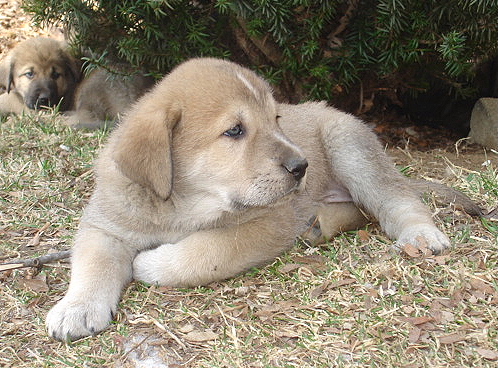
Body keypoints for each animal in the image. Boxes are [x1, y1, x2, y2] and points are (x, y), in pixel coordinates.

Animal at [46, 58, 456, 342]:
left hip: (350, 148)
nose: (301, 167)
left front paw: (152, 263)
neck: (180, 205)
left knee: (395, 199)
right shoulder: (106, 224)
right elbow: (93, 264)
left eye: (276, 119)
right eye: (235, 131)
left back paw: (421, 234)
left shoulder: (268, 223)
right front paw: (76, 309)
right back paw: (319, 224)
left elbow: (208, 251)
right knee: (358, 210)